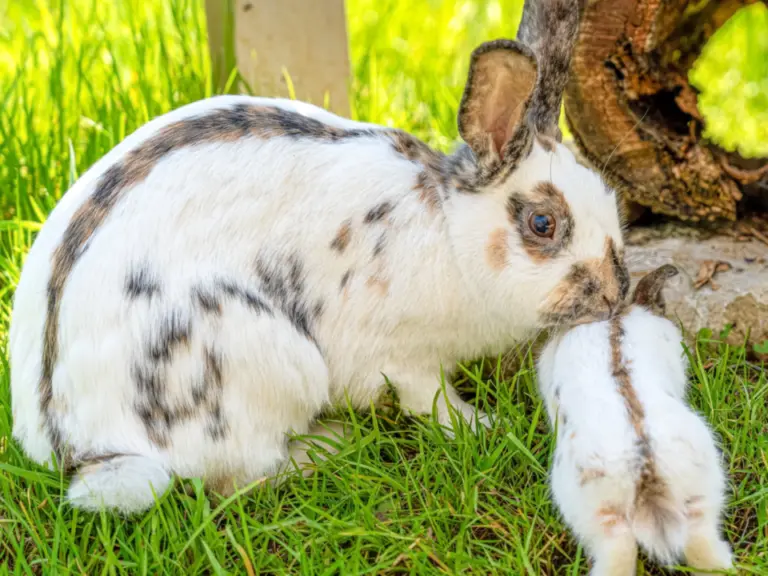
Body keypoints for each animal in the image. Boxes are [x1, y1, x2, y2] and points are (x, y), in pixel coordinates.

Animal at [9, 0, 630, 514]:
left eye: (609, 195)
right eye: (543, 224)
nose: (615, 292)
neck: (449, 232)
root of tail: (79, 445)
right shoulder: (402, 357)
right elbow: (431, 402)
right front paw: (485, 426)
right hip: (253, 357)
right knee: (240, 475)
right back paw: (329, 447)